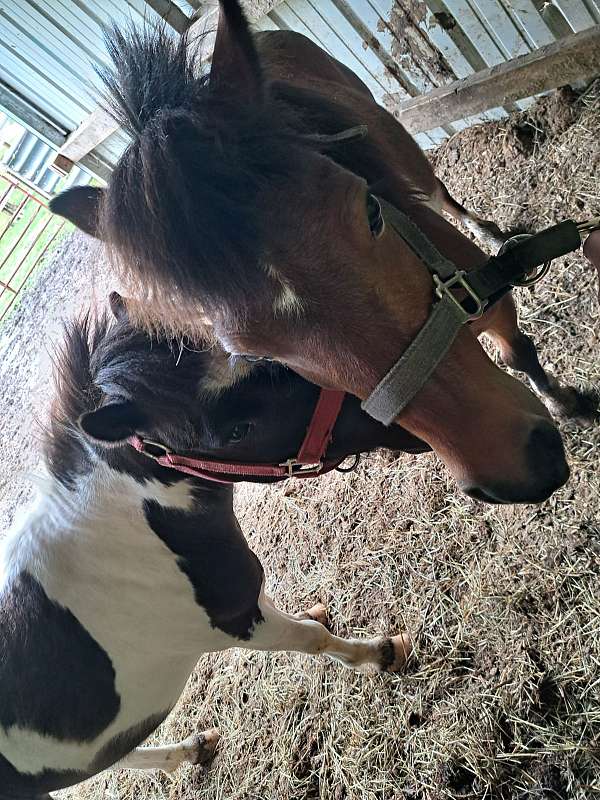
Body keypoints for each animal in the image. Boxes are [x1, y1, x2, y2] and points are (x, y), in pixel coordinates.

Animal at [0, 292, 420, 799]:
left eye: (261, 355)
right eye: (238, 430)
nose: (403, 423)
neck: (121, 535)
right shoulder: (239, 627)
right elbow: (312, 639)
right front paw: (380, 654)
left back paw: (192, 750)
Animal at [50, 1, 596, 506]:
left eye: (372, 212)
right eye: (253, 354)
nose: (523, 467)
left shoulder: (490, 296)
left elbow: (520, 351)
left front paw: (567, 403)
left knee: (438, 189)